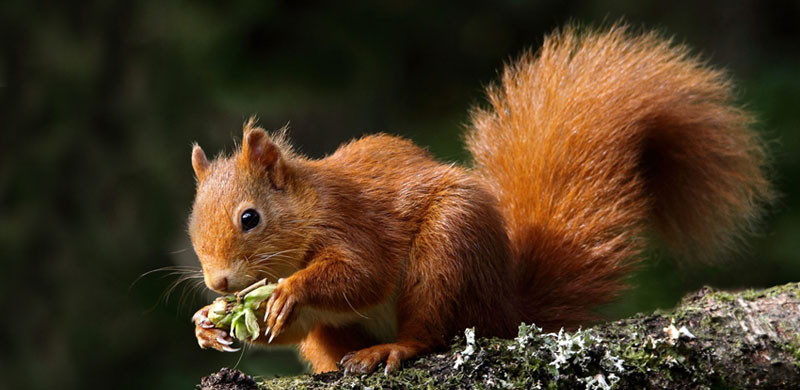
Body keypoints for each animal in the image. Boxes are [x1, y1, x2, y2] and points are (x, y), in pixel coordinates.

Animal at [188, 25, 776, 374]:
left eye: (250, 218)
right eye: (192, 230)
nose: (220, 283)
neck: (310, 209)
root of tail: (506, 309)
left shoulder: (351, 223)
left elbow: (362, 274)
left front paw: (289, 288)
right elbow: (294, 327)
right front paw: (205, 323)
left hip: (448, 252)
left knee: (430, 331)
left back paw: (391, 347)